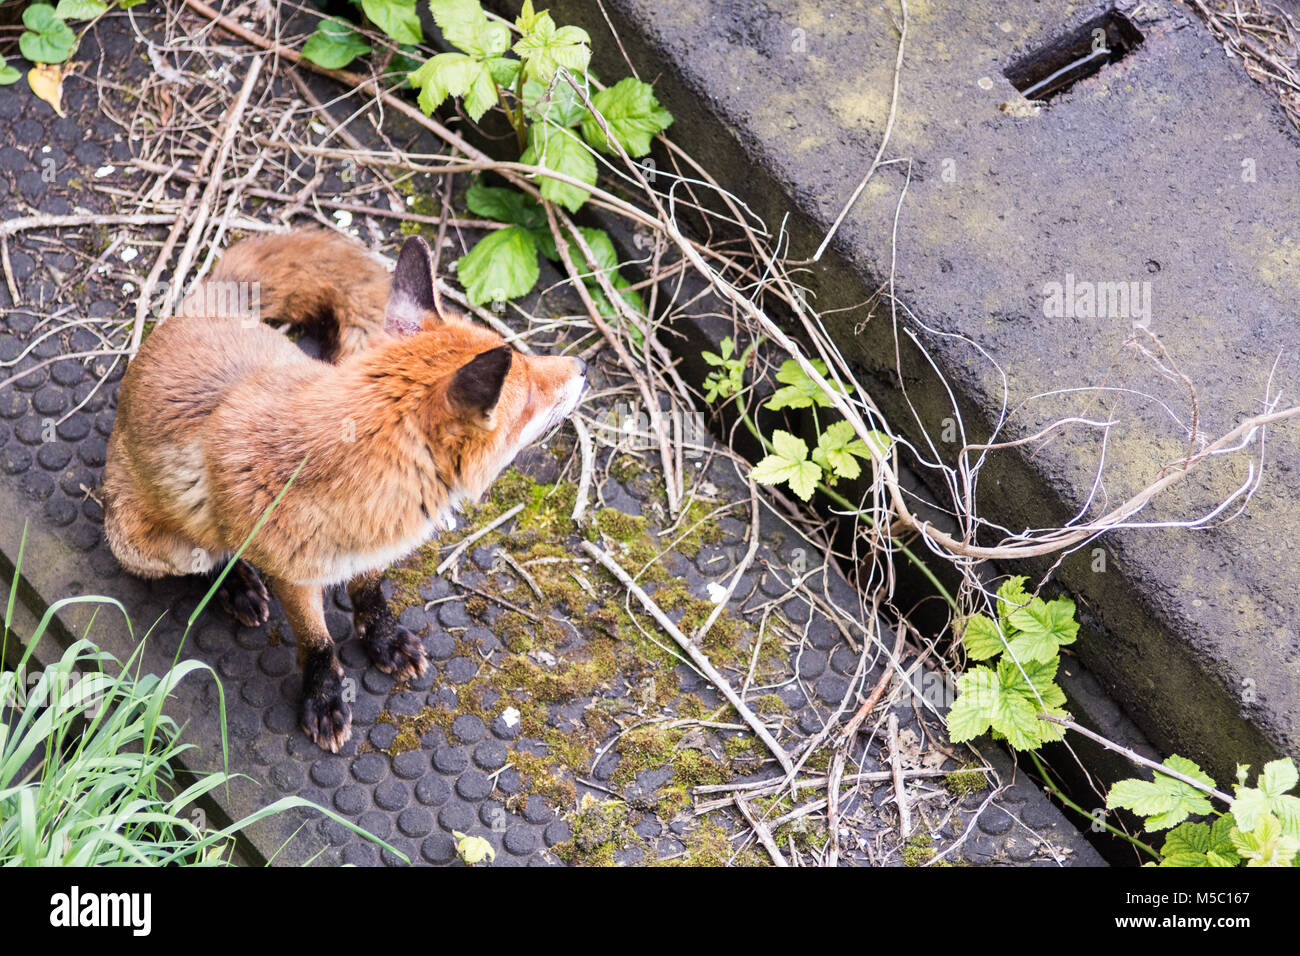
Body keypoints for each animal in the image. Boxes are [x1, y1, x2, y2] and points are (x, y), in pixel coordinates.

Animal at [102, 227, 590, 749]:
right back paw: (237, 585)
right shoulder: (295, 575)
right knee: (207, 557)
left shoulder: (371, 547)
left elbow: (370, 594)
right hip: (150, 545)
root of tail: (188, 317)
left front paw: (383, 640)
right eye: (529, 392)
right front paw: (324, 699)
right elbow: (317, 643)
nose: (583, 366)